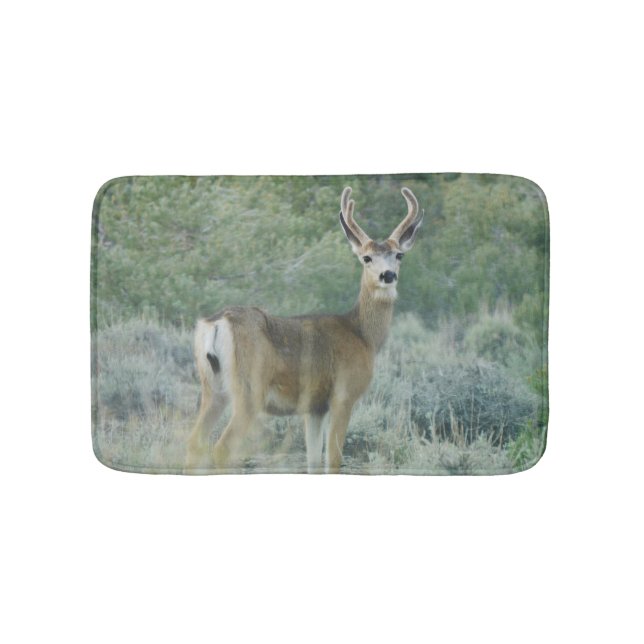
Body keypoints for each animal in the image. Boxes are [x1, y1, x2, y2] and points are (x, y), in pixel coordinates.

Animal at [185, 186, 423, 474]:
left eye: (399, 255)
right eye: (366, 257)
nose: (388, 275)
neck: (363, 335)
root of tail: (216, 323)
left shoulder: (315, 407)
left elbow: (313, 461)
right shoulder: (343, 395)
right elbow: (333, 460)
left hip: (212, 387)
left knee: (194, 442)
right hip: (249, 389)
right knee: (222, 447)